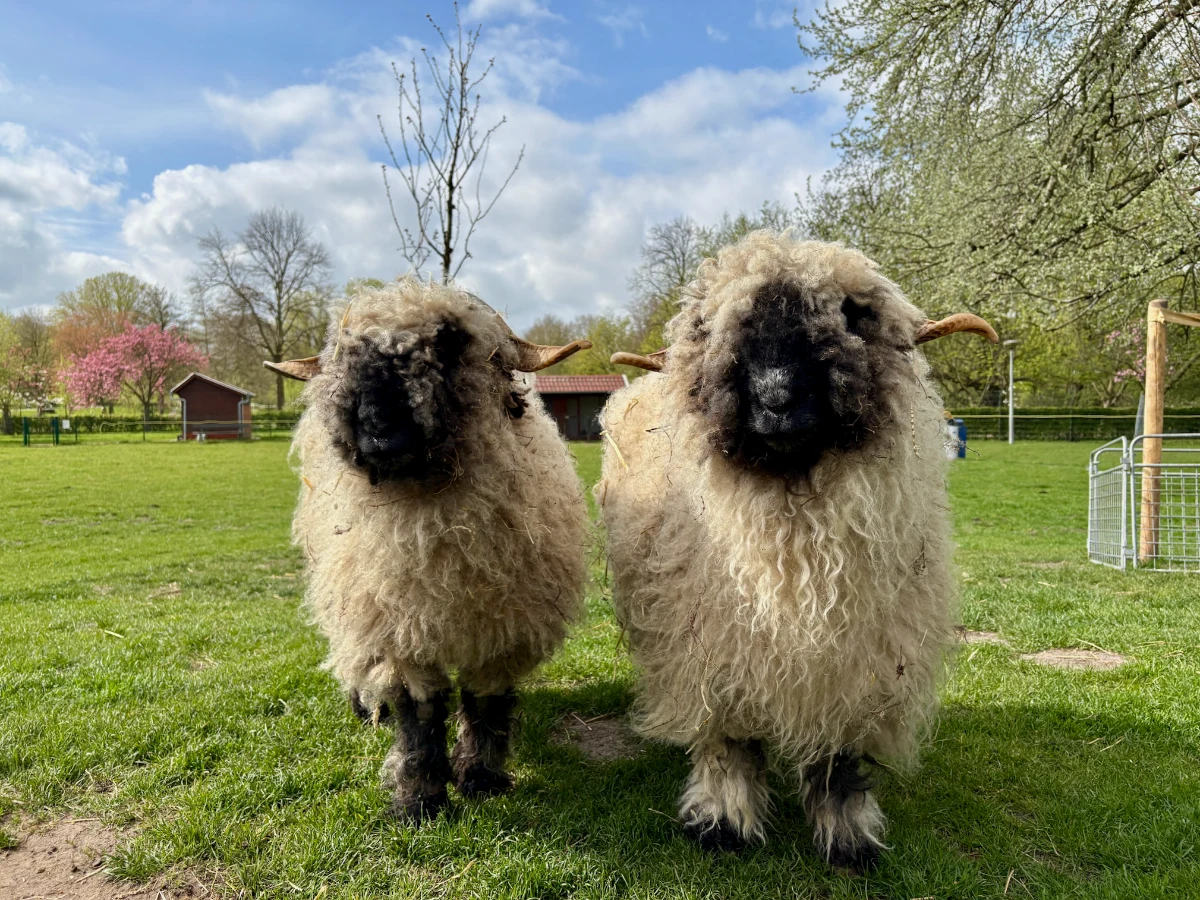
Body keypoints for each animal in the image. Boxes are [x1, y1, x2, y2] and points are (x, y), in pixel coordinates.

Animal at [267, 276, 591, 822]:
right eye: (345, 352)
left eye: (449, 341)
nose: (378, 428)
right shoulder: (400, 629)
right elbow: (418, 714)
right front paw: (419, 800)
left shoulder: (502, 629)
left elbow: (485, 704)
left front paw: (481, 779)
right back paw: (366, 707)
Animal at [598, 231, 996, 871]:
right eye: (709, 327)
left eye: (852, 315)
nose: (776, 396)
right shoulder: (713, 650)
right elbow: (727, 742)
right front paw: (723, 822)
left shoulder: (859, 664)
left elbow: (840, 756)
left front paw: (849, 836)